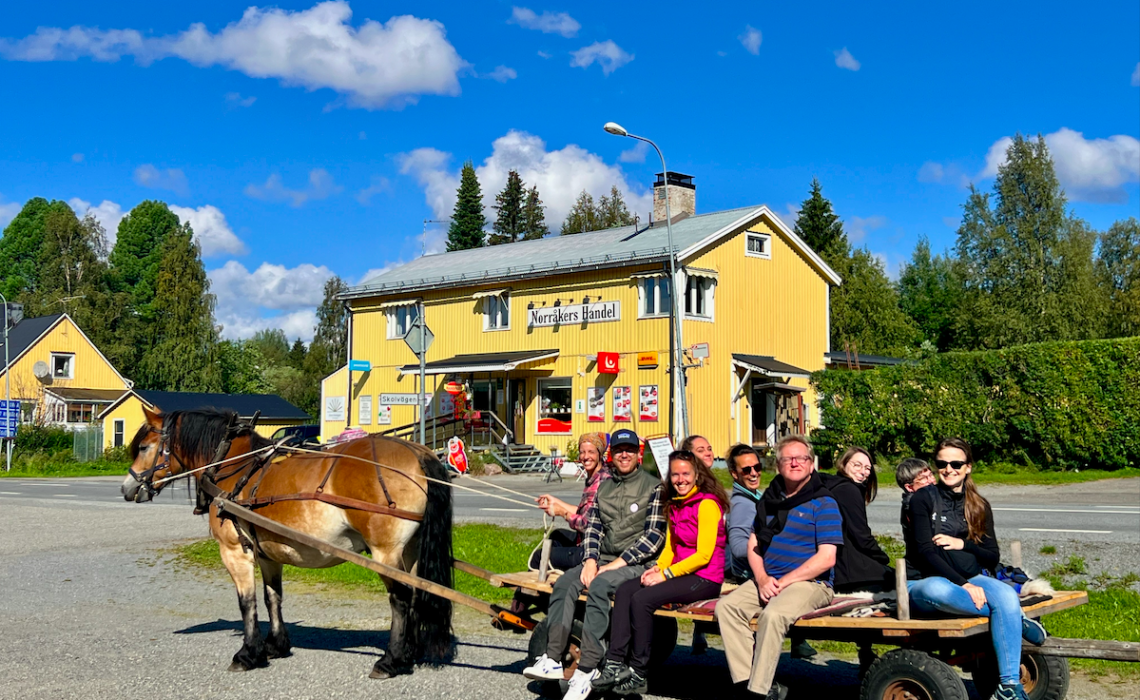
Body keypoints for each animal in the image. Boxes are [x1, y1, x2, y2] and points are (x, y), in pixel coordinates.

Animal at [117, 405, 451, 679]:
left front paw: (247, 654)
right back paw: (409, 653)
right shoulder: (267, 553)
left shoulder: (235, 551)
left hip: (385, 553)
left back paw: (391, 659)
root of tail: (419, 453)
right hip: (410, 551)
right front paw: (275, 644)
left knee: (401, 599)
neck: (235, 466)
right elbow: (271, 597)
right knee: (419, 593)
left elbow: (246, 602)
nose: (126, 488)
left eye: (144, 447)